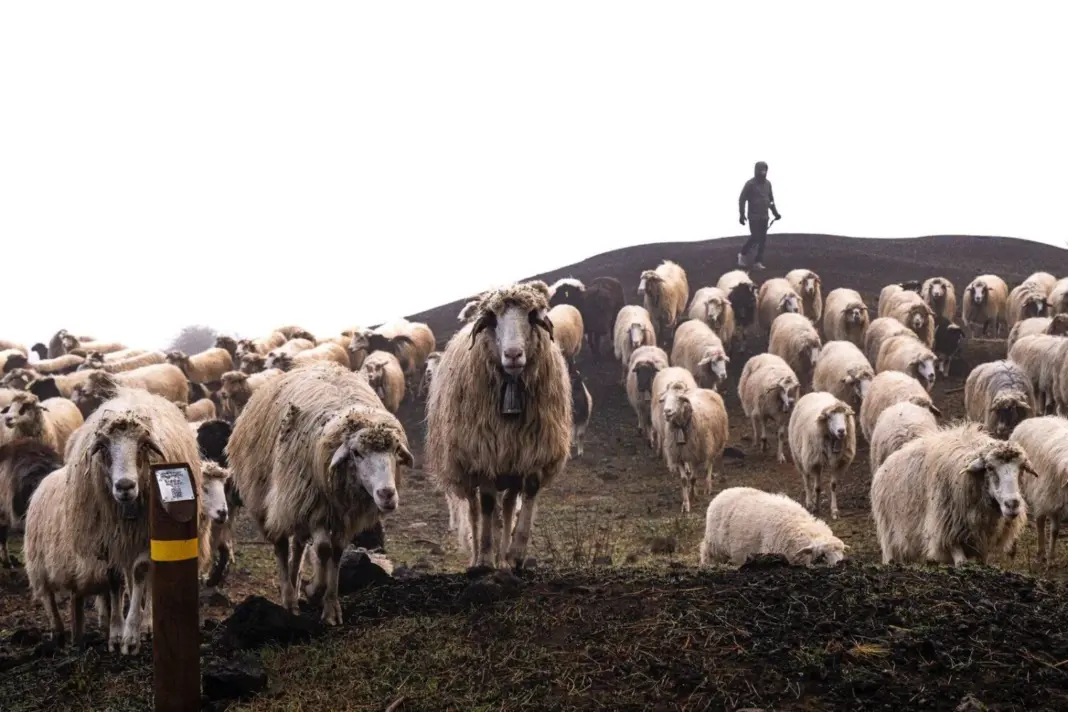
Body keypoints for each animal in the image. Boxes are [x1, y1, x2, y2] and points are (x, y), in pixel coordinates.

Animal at [34, 386, 209, 653]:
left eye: (143, 445)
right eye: (104, 447)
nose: (125, 486)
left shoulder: (146, 536)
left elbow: (140, 574)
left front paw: (132, 634)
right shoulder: (106, 539)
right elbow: (114, 578)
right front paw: (115, 633)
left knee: (146, 577)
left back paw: (147, 624)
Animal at [229, 361, 411, 623]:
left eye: (395, 450)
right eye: (356, 453)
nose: (387, 494)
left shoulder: (342, 515)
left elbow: (336, 551)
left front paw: (331, 606)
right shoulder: (316, 508)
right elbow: (324, 549)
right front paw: (314, 590)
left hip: (299, 504)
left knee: (298, 545)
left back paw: (295, 585)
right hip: (274, 500)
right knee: (281, 546)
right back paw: (289, 598)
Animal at [425, 280, 571, 570]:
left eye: (532, 316)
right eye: (492, 319)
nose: (513, 354)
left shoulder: (532, 451)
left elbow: (524, 498)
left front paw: (515, 555)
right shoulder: (483, 453)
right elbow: (486, 504)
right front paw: (484, 558)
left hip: (510, 464)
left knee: (507, 505)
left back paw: (503, 556)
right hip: (467, 467)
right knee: (476, 509)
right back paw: (477, 555)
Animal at [871, 423, 1033, 565]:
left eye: (1021, 469)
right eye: (990, 468)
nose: (1012, 504)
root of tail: (884, 466)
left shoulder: (982, 541)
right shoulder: (948, 533)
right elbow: (961, 563)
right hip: (890, 535)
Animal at [1009, 416, 1068, 568]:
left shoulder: (1058, 501)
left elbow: (1055, 531)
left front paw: (1051, 559)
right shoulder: (1047, 495)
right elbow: (1041, 523)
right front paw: (1042, 555)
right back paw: (1014, 549)